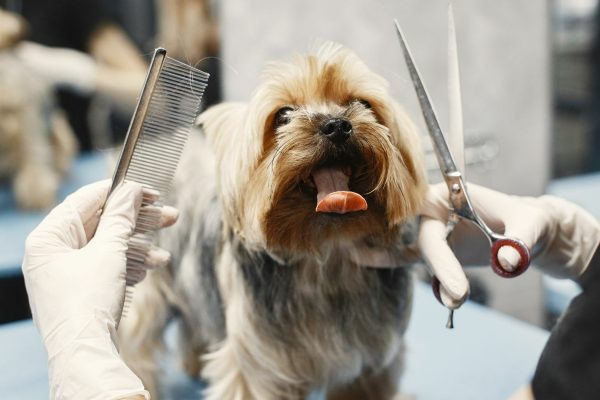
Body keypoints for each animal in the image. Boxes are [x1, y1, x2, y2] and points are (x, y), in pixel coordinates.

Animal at [122, 42, 428, 398]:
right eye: (283, 115)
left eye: (363, 104)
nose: (337, 125)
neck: (326, 252)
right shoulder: (258, 365)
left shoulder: (373, 364)